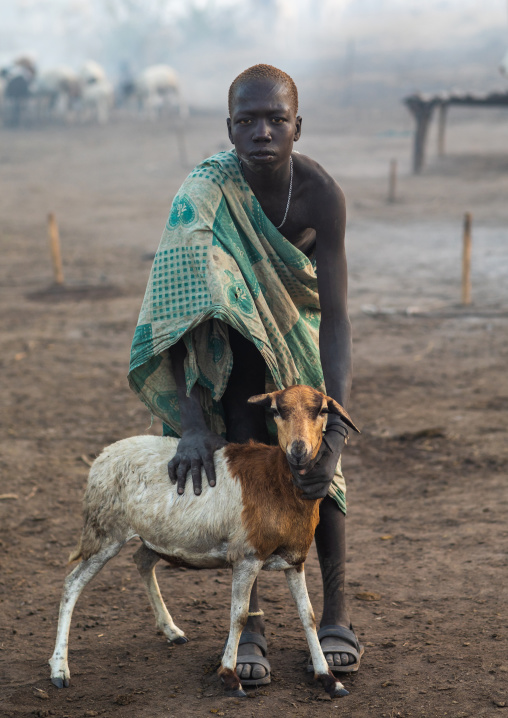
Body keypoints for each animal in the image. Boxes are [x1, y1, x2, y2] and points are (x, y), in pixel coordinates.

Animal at [49, 384, 360, 698]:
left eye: (322, 410)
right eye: (275, 411)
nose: (298, 450)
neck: (279, 484)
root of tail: (102, 455)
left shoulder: (295, 559)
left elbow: (307, 615)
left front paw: (329, 678)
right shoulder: (247, 555)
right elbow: (239, 615)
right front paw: (230, 677)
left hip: (154, 536)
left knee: (141, 560)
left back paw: (171, 631)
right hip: (105, 531)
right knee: (72, 583)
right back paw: (59, 669)